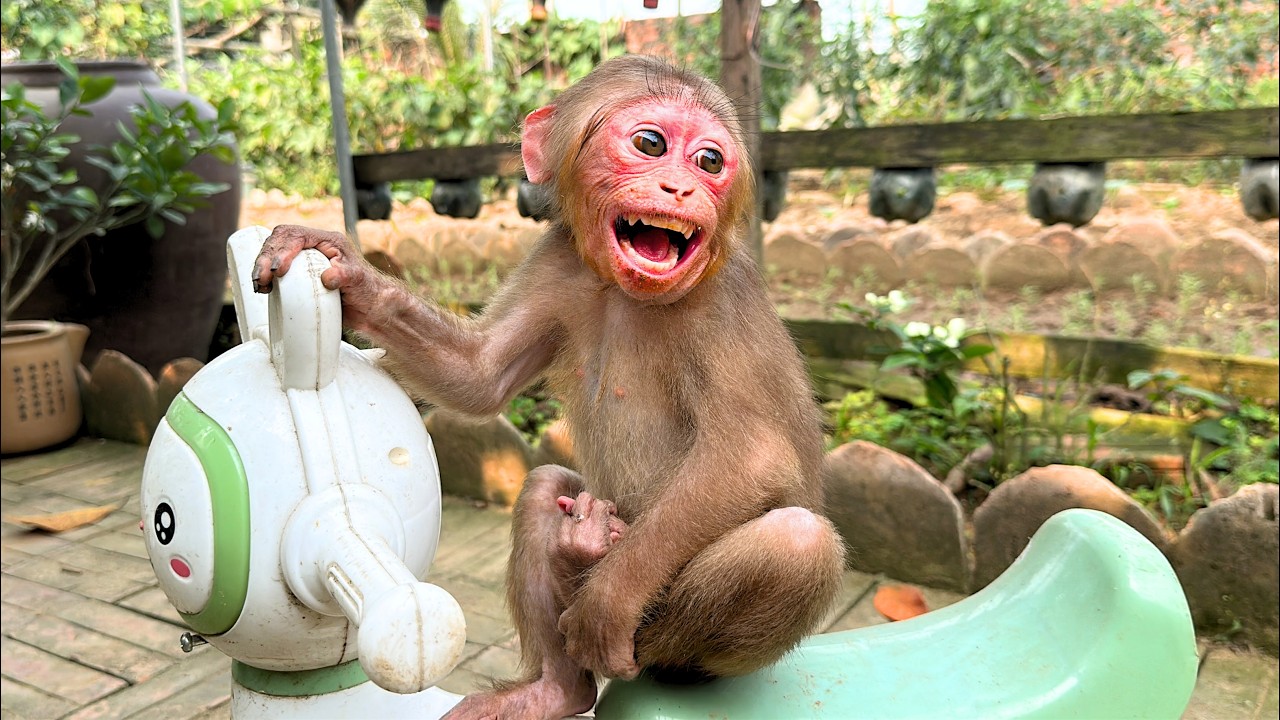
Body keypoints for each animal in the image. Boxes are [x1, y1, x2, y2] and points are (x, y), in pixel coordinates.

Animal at [253, 55, 846, 720]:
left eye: (709, 161)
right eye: (651, 144)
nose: (682, 188)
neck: (627, 293)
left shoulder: (726, 297)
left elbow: (753, 455)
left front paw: (610, 596)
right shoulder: (558, 260)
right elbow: (480, 376)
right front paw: (350, 275)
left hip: (660, 645)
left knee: (794, 545)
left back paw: (599, 571)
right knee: (542, 488)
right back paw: (557, 673)